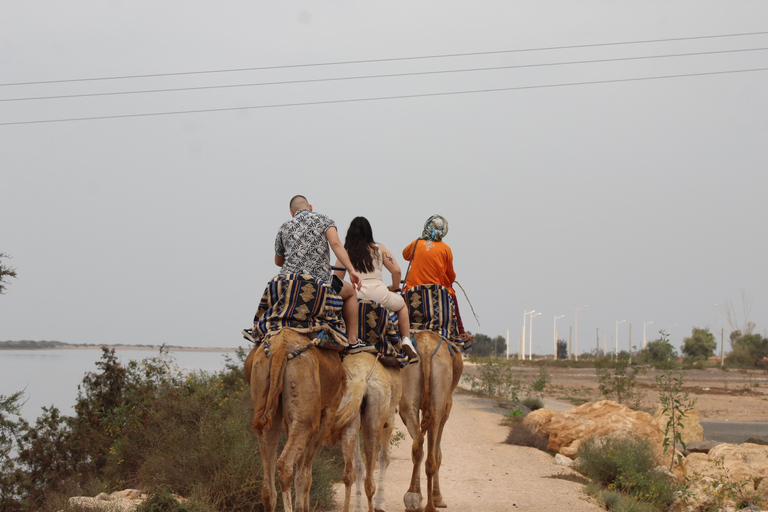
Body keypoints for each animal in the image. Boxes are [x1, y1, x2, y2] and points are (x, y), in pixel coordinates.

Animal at [246, 328, 344, 512]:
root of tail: (280, 350)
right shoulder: (328, 412)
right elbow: (305, 476)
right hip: (304, 393)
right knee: (285, 465)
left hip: (262, 381)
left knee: (268, 485)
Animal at [330, 352, 402, 512]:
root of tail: (360, 378)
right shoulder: (389, 419)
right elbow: (384, 457)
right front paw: (380, 504)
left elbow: (358, 465)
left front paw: (357, 508)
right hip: (375, 419)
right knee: (369, 480)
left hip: (348, 412)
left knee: (348, 473)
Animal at [402, 330, 462, 510]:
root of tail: (427, 350)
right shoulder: (446, 409)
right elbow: (438, 454)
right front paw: (438, 498)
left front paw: (419, 495)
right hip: (440, 399)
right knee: (431, 456)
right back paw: (431, 505)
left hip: (409, 391)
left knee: (417, 445)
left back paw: (412, 497)